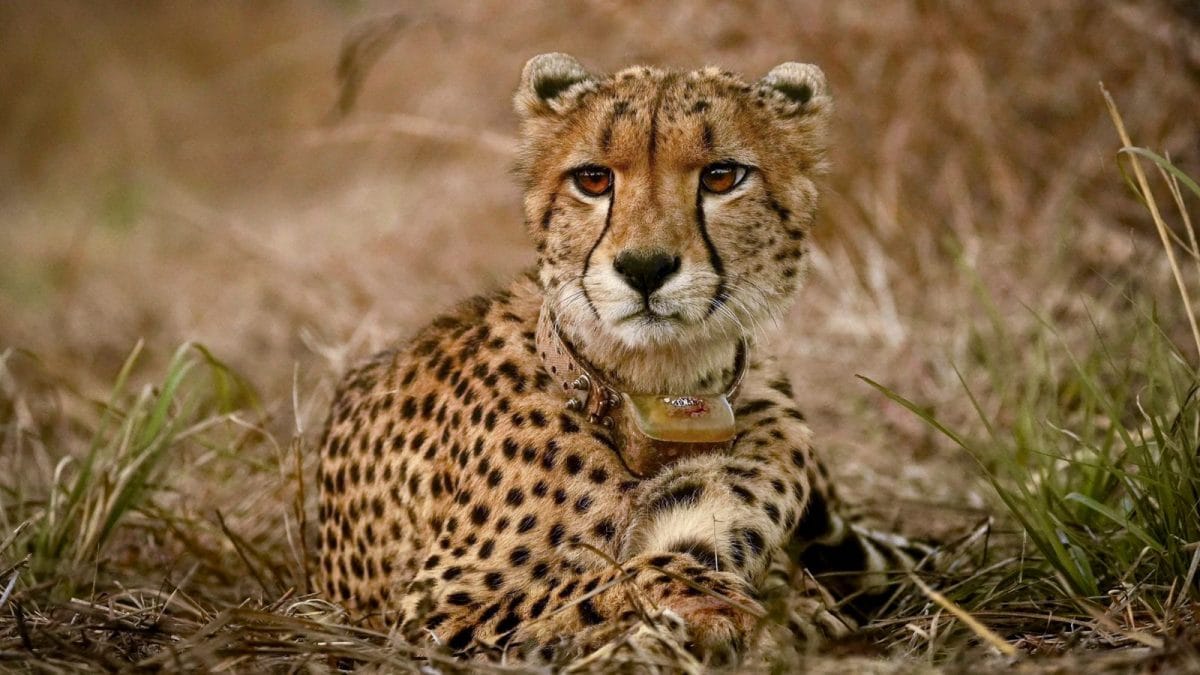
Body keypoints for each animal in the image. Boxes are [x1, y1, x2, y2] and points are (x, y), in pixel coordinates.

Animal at [317, 53, 917, 665]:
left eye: (721, 176)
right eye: (593, 179)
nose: (645, 267)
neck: (663, 395)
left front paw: (786, 607)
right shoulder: (434, 609)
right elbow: (619, 575)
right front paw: (757, 613)